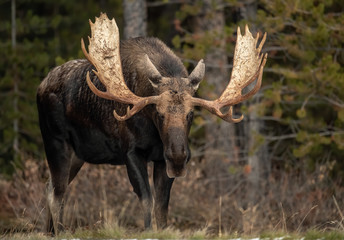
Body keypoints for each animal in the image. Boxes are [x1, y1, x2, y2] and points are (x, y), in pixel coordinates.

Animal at [37, 12, 268, 233]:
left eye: (191, 114)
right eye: (159, 113)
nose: (178, 156)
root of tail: (41, 86)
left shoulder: (161, 159)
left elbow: (162, 205)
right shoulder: (131, 152)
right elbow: (147, 200)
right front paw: (148, 230)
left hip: (78, 155)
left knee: (51, 186)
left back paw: (51, 231)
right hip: (55, 141)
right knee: (57, 192)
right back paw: (60, 231)